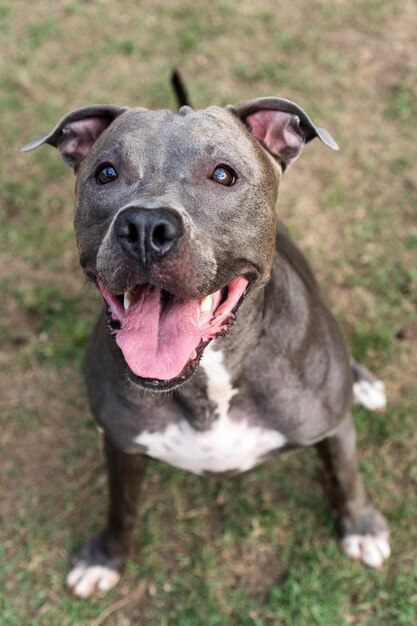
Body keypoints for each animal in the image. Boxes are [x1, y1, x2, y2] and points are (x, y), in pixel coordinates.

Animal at [22, 78, 390, 596]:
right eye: (106, 172)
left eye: (223, 175)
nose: (145, 226)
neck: (208, 376)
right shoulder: (121, 444)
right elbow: (122, 507)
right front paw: (105, 557)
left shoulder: (332, 427)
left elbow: (344, 473)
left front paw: (360, 527)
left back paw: (364, 383)